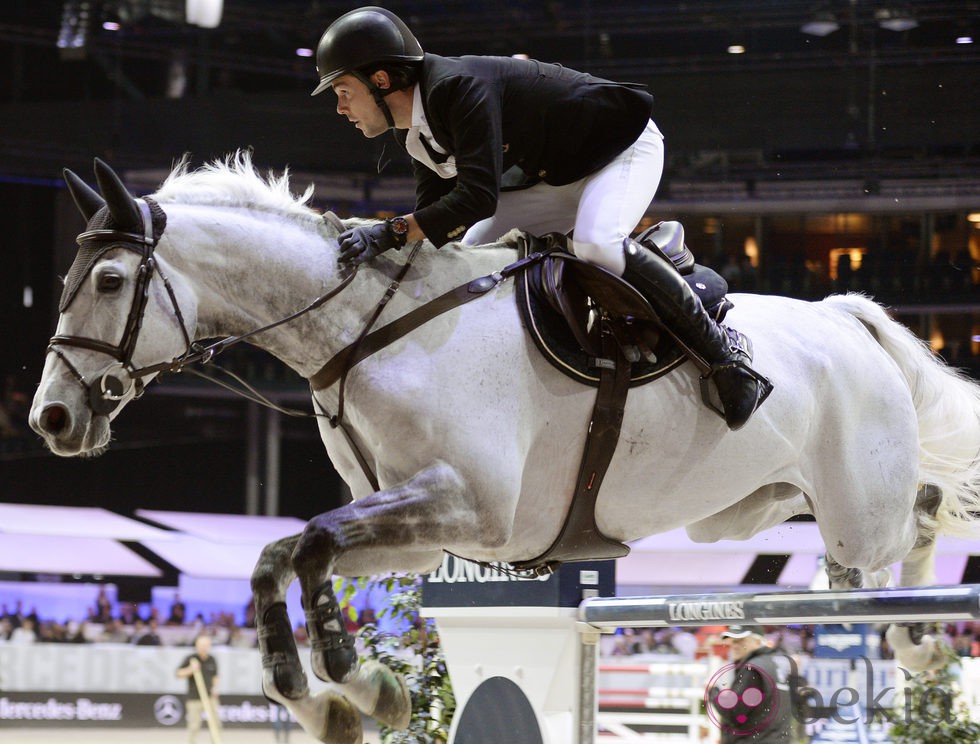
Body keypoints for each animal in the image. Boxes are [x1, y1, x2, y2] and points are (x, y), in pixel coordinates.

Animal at [26, 154, 980, 740]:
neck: (368, 333)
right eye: (63, 281)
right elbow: (287, 556)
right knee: (865, 544)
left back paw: (920, 644)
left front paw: (353, 681)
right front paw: (340, 697)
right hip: (748, 511)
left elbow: (307, 546)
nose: (52, 420)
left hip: (861, 505)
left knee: (921, 517)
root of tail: (848, 318)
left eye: (107, 280)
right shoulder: (420, 530)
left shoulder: (475, 512)